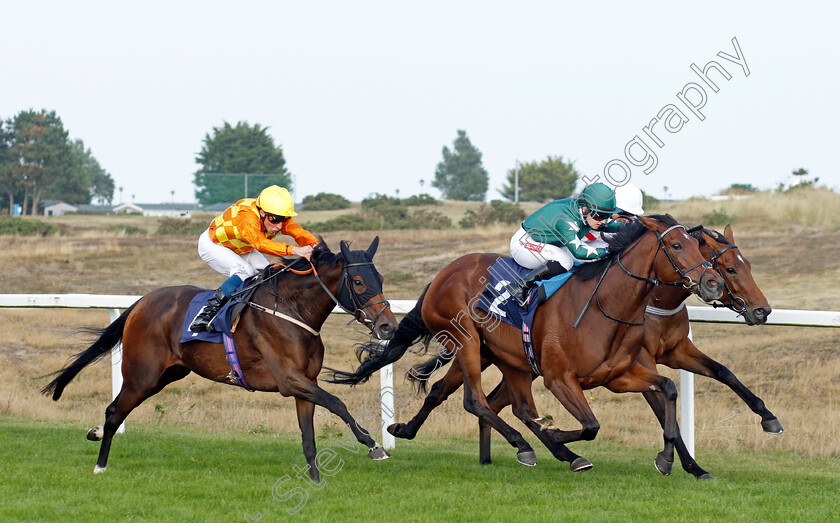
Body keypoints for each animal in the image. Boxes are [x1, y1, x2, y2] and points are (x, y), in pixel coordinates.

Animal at [44, 239, 398, 482]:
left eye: (380, 278)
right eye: (358, 282)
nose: (388, 326)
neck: (293, 311)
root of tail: (142, 302)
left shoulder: (304, 383)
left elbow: (309, 435)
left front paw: (313, 477)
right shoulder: (290, 380)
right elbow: (338, 403)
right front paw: (373, 446)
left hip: (167, 375)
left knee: (117, 410)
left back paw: (95, 436)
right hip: (142, 375)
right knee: (114, 412)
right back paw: (100, 464)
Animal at [332, 215, 724, 468]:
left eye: (699, 246)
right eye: (676, 245)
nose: (713, 283)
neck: (605, 305)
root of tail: (444, 273)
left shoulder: (618, 376)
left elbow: (668, 388)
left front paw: (667, 458)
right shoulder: (559, 378)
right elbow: (589, 426)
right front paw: (556, 435)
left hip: (506, 357)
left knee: (487, 400)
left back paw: (406, 429)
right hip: (467, 341)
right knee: (477, 402)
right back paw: (529, 446)